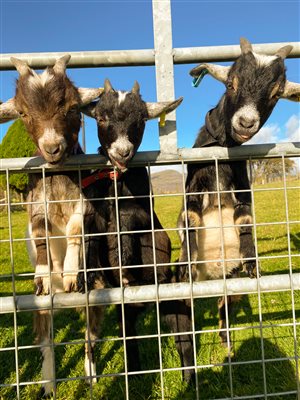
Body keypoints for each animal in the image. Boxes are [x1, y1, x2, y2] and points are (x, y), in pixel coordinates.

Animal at [0, 54, 104, 396]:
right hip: (40, 306)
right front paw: (45, 273)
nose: (52, 148)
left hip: (95, 294)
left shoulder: (85, 205)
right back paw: (48, 384)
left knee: (89, 338)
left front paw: (70, 272)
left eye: (70, 107)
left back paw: (90, 377)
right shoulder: (34, 207)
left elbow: (74, 227)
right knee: (45, 343)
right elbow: (39, 234)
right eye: (22, 112)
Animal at [79, 80, 183, 376]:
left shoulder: (140, 212)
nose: (122, 151)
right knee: (126, 333)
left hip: (167, 287)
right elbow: (88, 235)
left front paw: (122, 263)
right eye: (101, 118)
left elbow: (126, 222)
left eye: (141, 121)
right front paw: (83, 277)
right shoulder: (91, 211)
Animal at [176, 38, 300, 384]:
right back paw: (189, 372)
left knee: (224, 309)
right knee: (183, 321)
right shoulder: (193, 187)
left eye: (275, 94)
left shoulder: (244, 187)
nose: (246, 122)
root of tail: (213, 274)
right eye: (230, 83)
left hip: (231, 284)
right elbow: (190, 219)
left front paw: (253, 261)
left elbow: (245, 219)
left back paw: (226, 344)